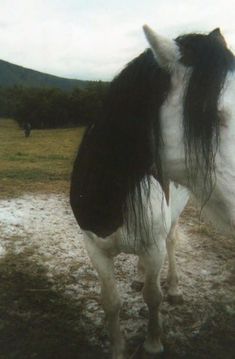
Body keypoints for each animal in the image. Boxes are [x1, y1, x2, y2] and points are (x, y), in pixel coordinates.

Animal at [70, 26, 235, 359]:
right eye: (211, 115)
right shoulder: (94, 247)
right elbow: (111, 302)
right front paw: (117, 348)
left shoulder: (154, 246)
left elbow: (153, 296)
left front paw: (153, 342)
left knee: (171, 244)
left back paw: (174, 288)